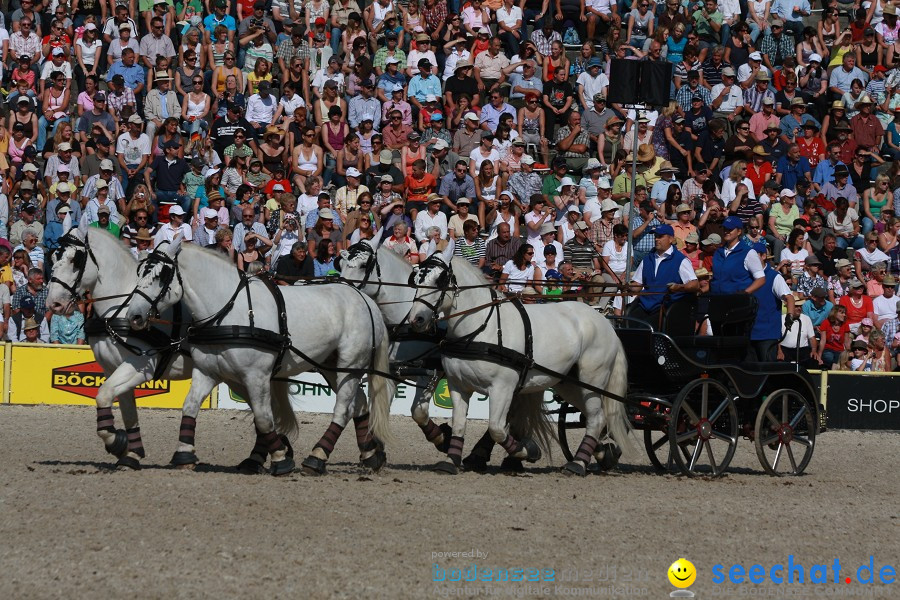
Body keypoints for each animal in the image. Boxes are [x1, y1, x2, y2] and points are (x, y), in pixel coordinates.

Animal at [125, 237, 396, 476]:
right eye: (139, 272)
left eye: (161, 275)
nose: (133, 316)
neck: (229, 311)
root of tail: (366, 300)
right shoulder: (206, 371)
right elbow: (190, 406)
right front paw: (184, 454)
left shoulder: (256, 376)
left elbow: (264, 418)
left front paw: (280, 460)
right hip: (332, 366)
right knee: (359, 403)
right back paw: (371, 455)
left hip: (351, 364)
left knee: (342, 409)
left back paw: (317, 457)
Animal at [408, 246, 632, 476]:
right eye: (415, 279)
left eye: (440, 280)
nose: (416, 319)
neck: (481, 328)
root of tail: (605, 323)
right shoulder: (458, 385)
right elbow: (460, 424)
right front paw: (451, 460)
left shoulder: (502, 388)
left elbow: (496, 429)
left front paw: (527, 451)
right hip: (568, 383)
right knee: (596, 416)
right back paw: (604, 455)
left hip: (592, 381)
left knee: (596, 418)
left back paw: (578, 463)